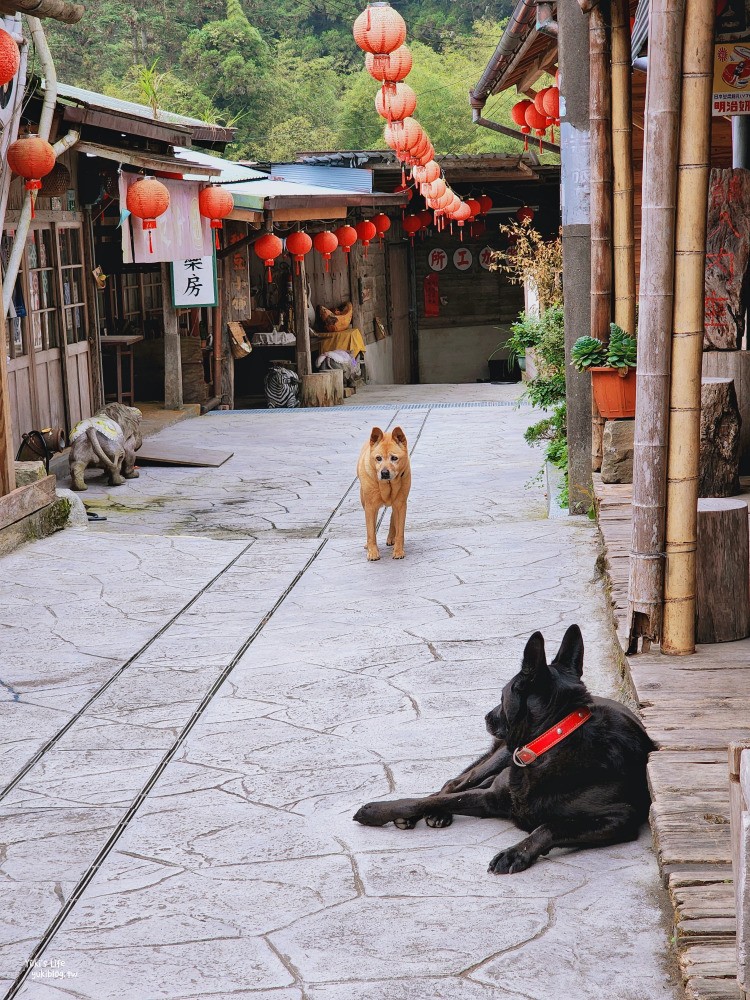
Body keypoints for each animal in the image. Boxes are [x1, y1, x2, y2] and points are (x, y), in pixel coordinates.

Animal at [356, 424, 412, 560]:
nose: (384, 473)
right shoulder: (370, 506)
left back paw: (391, 538)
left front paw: (398, 551)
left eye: (394, 458)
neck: (387, 485)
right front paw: (372, 552)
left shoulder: (401, 504)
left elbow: (400, 531)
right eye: (378, 458)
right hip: (364, 501)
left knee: (393, 516)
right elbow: (371, 531)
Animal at [356, 628, 656, 872]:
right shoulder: (491, 797)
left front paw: (516, 853)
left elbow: (550, 825)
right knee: (455, 783)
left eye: (502, 697)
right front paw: (378, 810)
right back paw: (431, 814)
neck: (552, 743)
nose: (486, 717)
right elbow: (427, 799)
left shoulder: (620, 817)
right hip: (499, 758)